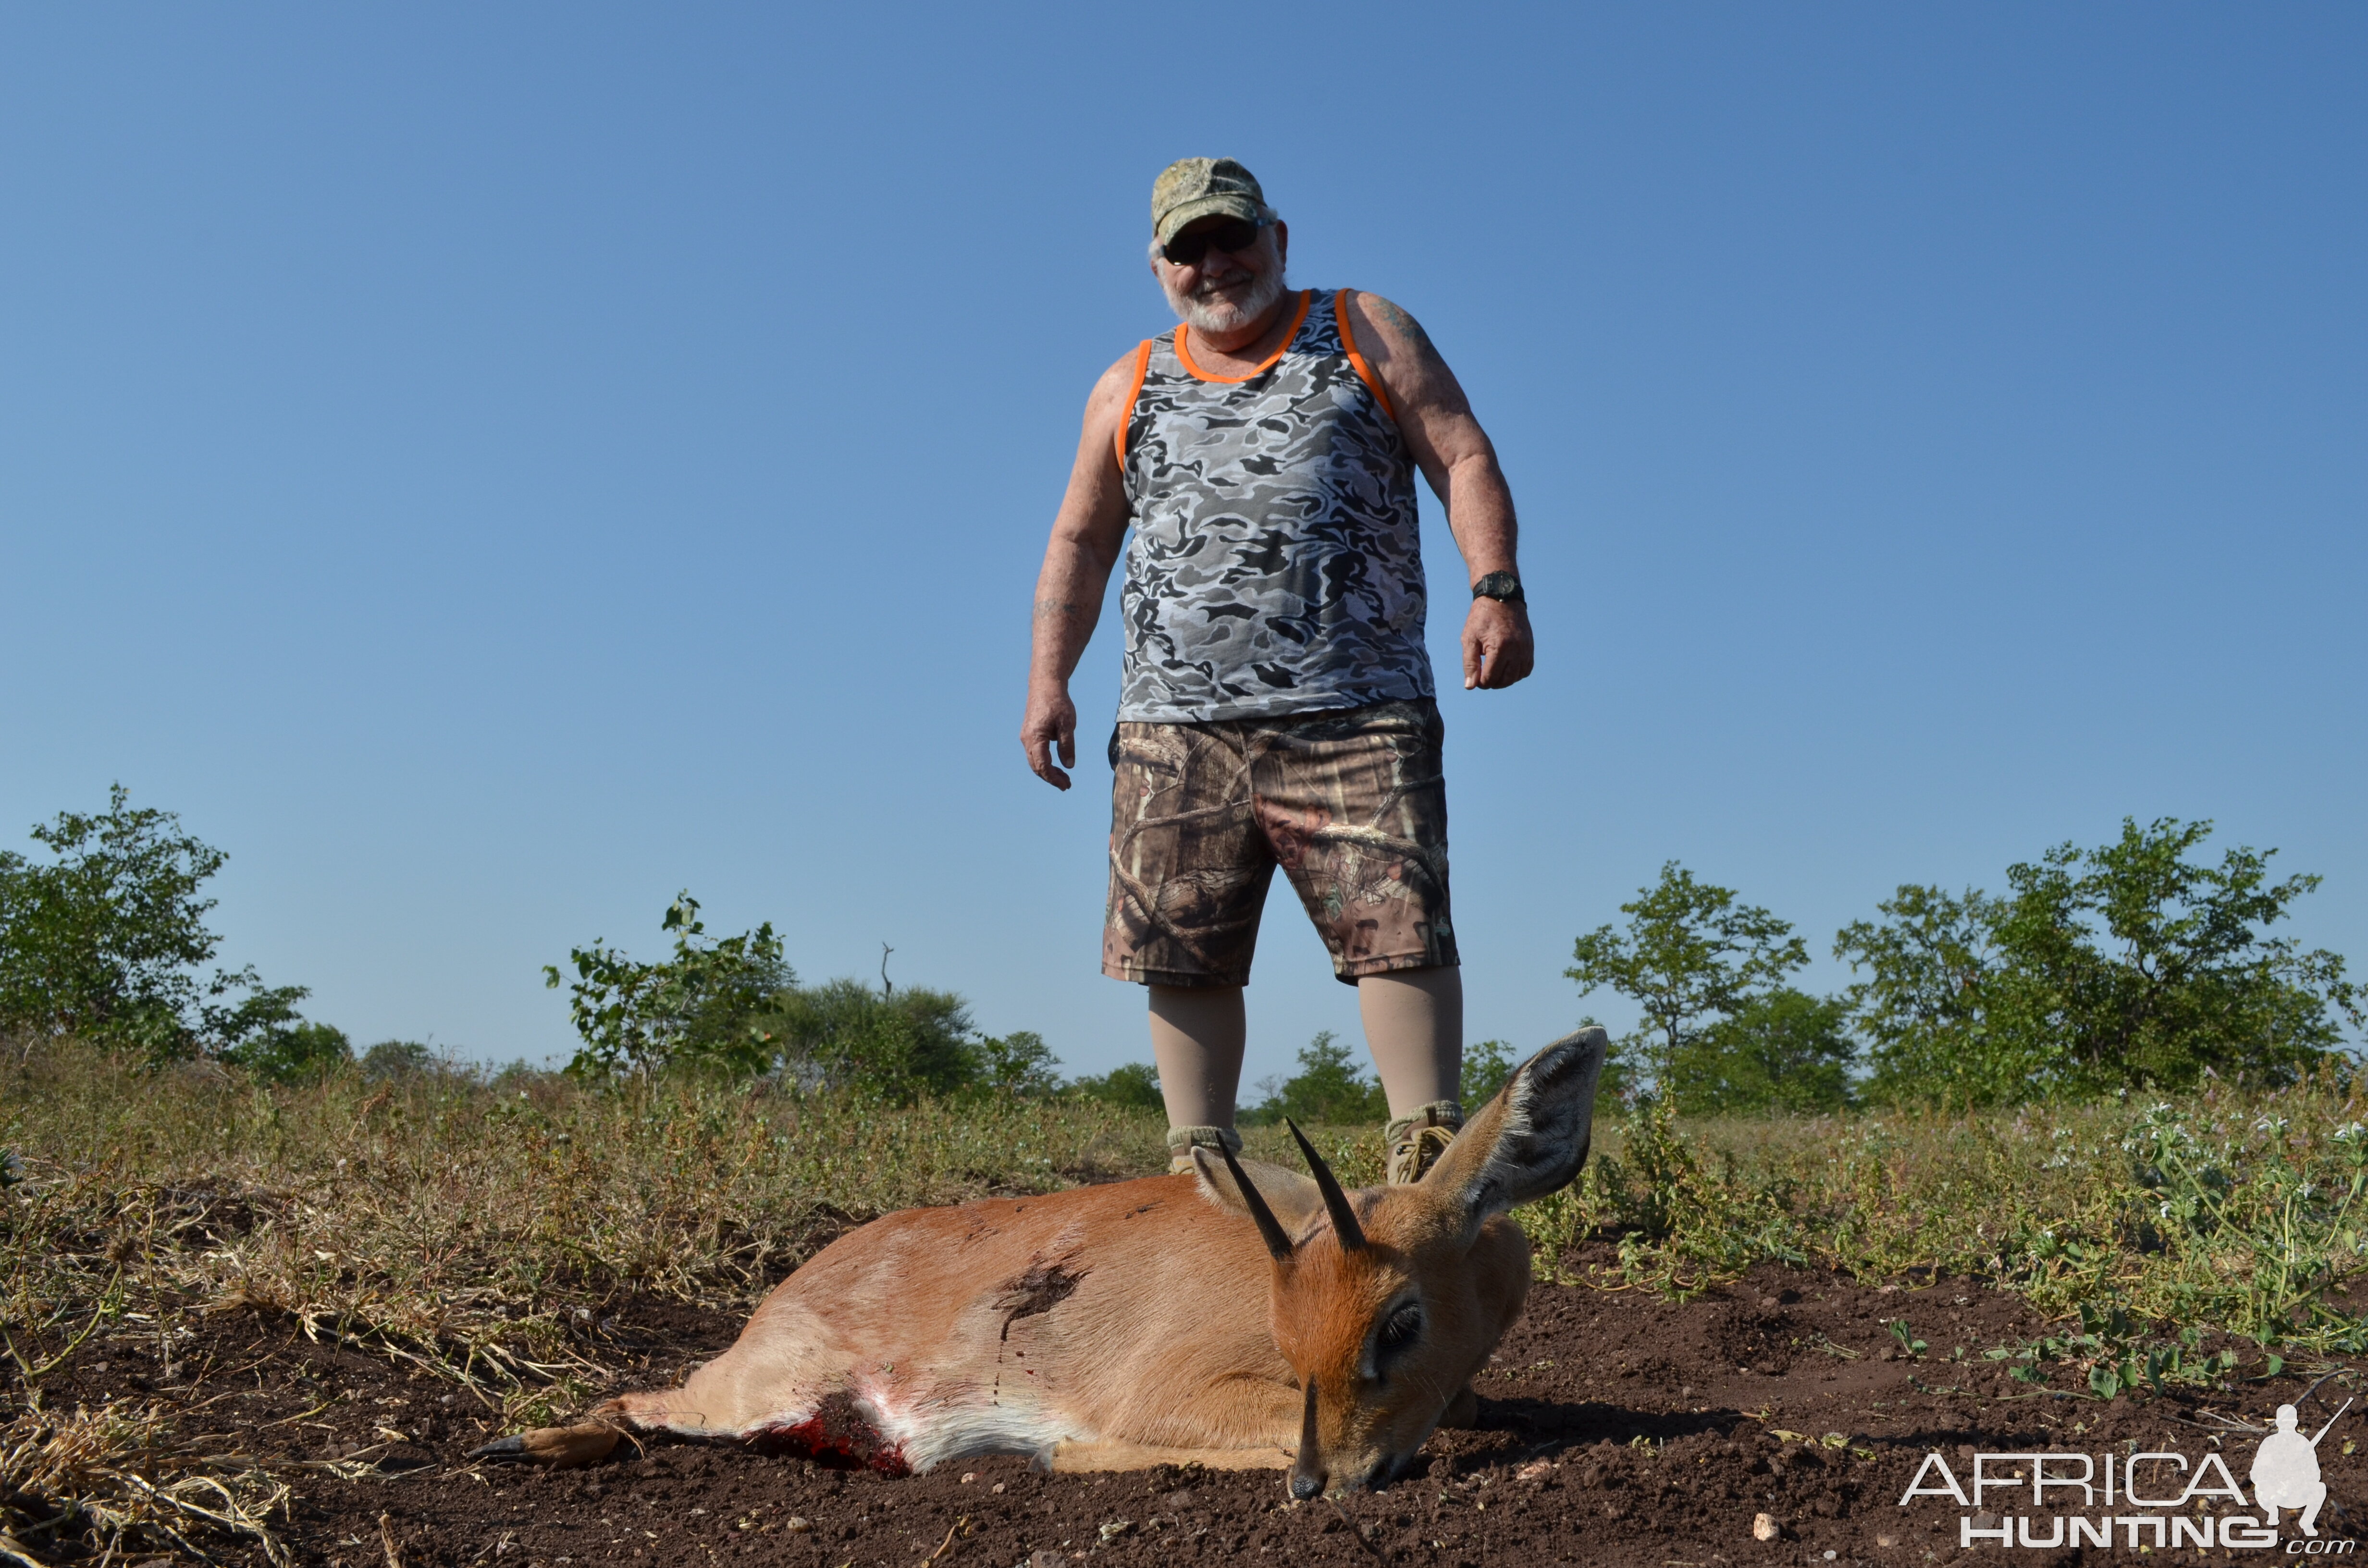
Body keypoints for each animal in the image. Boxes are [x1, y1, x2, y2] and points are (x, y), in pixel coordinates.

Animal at [471, 1032, 1601, 1497]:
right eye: (1290, 1329)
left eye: (1399, 1320)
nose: (1325, 1485)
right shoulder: (1173, 1390)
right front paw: (1067, 1454)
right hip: (749, 1385)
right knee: (638, 1395)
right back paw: (517, 1444)